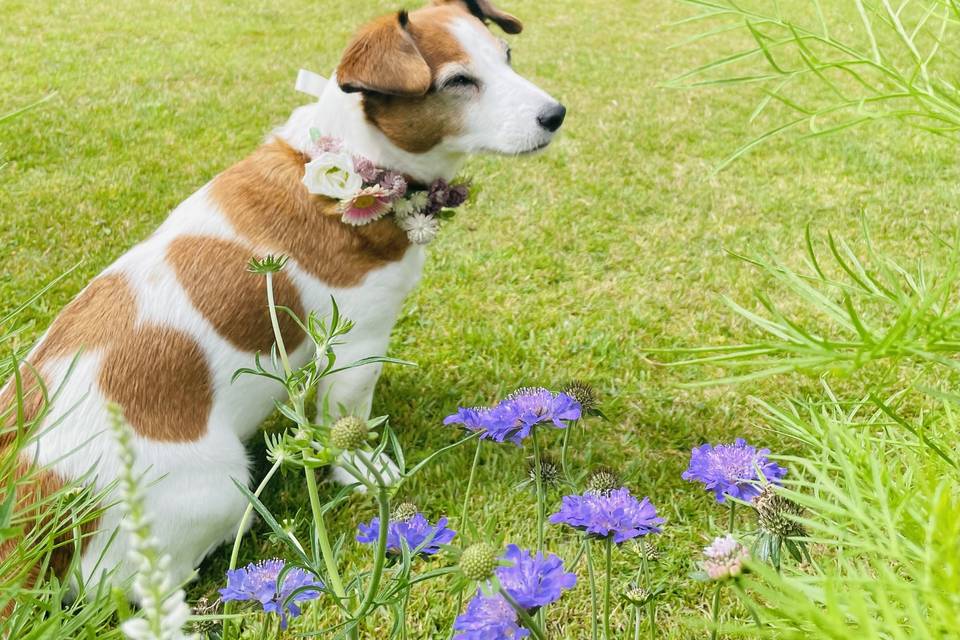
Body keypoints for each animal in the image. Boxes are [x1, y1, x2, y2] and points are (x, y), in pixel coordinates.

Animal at [0, 0, 568, 600]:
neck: (352, 165)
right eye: (459, 81)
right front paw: (361, 468)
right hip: (218, 490)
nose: (556, 114)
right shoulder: (357, 343)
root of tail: (36, 491)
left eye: (507, 56)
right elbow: (348, 416)